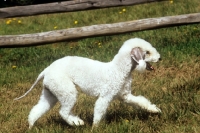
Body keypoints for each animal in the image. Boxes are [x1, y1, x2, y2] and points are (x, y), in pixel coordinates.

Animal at [14, 37, 161, 129]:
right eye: (147, 52)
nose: (160, 58)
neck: (118, 70)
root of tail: (47, 70)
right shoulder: (105, 96)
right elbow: (99, 111)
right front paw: (95, 127)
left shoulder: (125, 95)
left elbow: (140, 101)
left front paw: (155, 110)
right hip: (67, 91)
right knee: (63, 112)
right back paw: (77, 122)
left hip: (51, 93)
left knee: (38, 109)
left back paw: (31, 126)